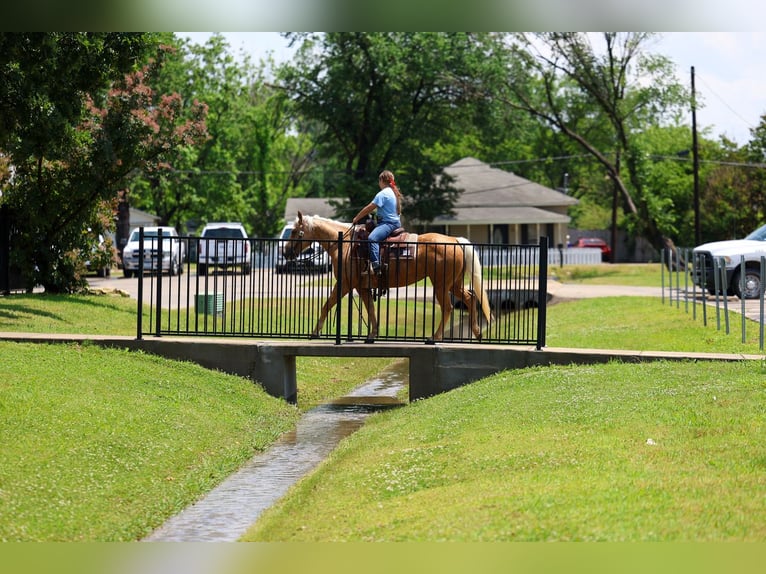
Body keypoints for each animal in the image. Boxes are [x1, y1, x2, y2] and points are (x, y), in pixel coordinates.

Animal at [282, 211, 493, 343]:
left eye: (295, 231)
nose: (285, 253)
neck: (345, 244)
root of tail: (454, 240)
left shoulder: (345, 284)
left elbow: (327, 305)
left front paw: (315, 332)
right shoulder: (362, 286)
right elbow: (371, 309)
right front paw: (372, 334)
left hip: (441, 284)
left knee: (448, 307)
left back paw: (435, 337)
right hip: (453, 284)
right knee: (470, 297)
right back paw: (477, 332)